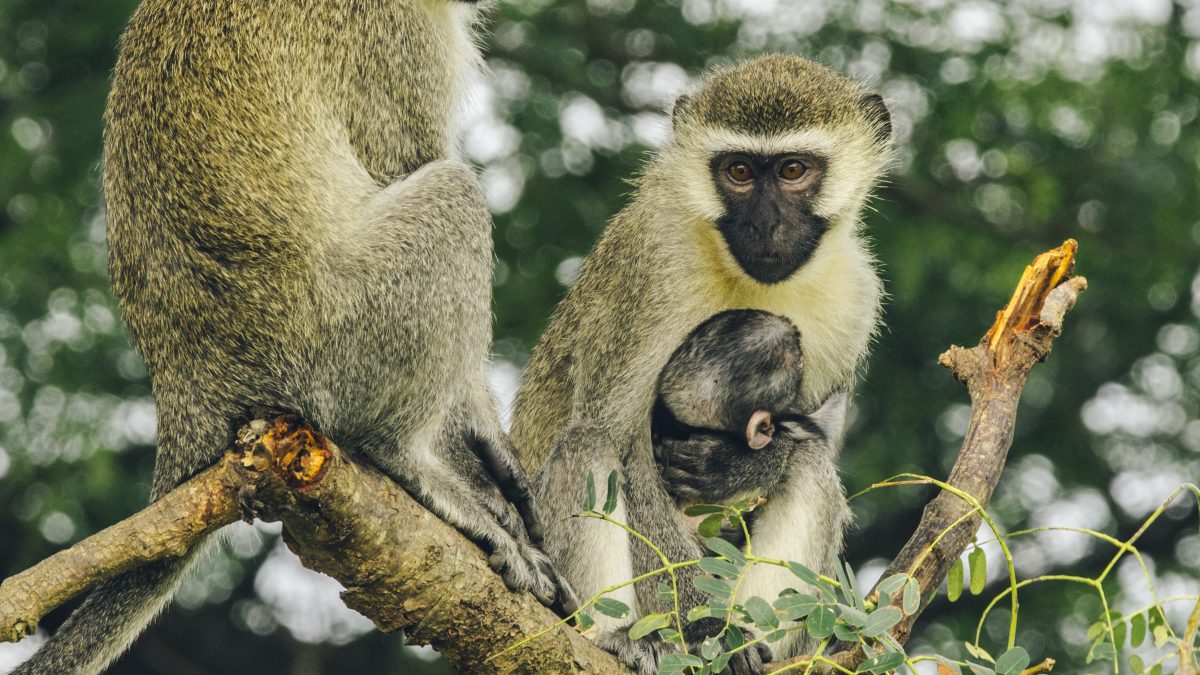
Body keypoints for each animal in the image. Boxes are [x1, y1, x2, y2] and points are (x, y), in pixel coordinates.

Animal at [13, 2, 571, 674]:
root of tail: (187, 387)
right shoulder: (395, 40)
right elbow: (403, 161)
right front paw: (481, 441)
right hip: (341, 341)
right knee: (453, 195)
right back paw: (408, 460)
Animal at [511, 54, 892, 673]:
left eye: (792, 170)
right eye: (738, 171)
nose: (765, 225)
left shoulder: (857, 296)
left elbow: (816, 433)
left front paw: (740, 466)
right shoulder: (650, 265)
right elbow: (621, 440)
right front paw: (705, 625)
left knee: (811, 466)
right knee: (588, 445)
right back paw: (626, 638)